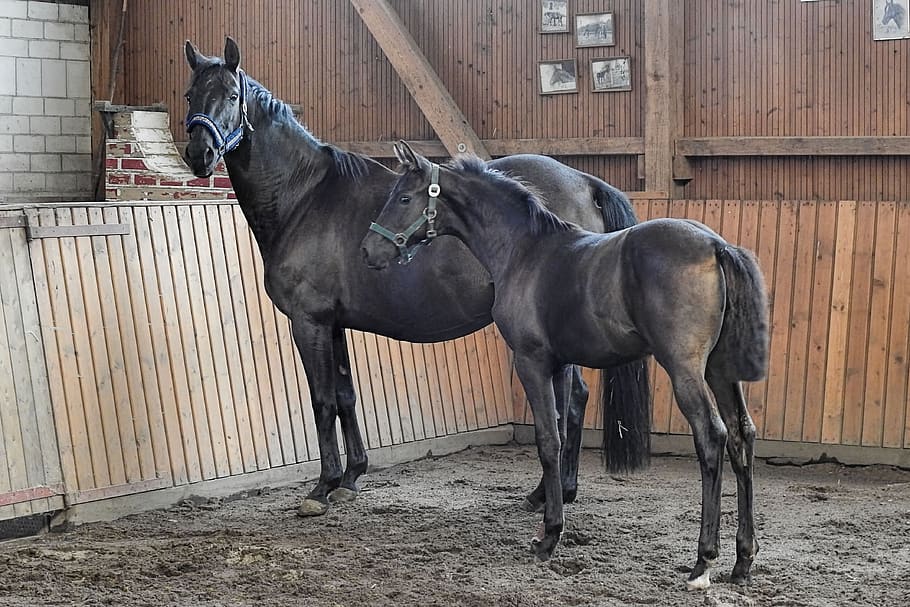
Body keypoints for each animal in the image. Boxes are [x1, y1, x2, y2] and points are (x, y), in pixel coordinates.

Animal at [181, 37, 650, 518]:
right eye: (190, 96)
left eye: (232, 97)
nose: (199, 155)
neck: (306, 196)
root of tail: (585, 181)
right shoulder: (334, 324)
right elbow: (346, 396)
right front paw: (350, 478)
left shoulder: (309, 322)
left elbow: (322, 400)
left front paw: (322, 487)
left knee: (569, 403)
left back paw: (552, 493)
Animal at [361, 142, 769, 590]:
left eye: (403, 198)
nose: (370, 249)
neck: (525, 251)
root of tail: (716, 245)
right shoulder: (559, 364)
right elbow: (560, 429)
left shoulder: (532, 362)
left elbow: (548, 440)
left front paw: (549, 535)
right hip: (720, 370)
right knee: (741, 436)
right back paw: (743, 560)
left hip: (686, 370)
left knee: (712, 437)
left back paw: (703, 560)